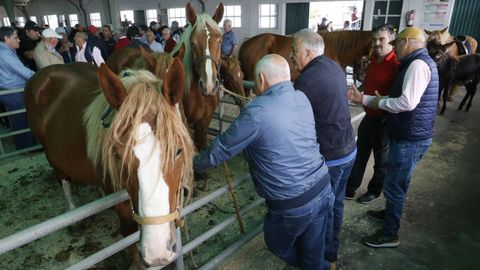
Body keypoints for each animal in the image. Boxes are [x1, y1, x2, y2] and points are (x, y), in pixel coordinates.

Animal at [23, 61, 194, 268]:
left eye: (178, 151)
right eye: (118, 155)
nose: (157, 253)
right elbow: (128, 230)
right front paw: (136, 262)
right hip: (51, 155)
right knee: (63, 180)